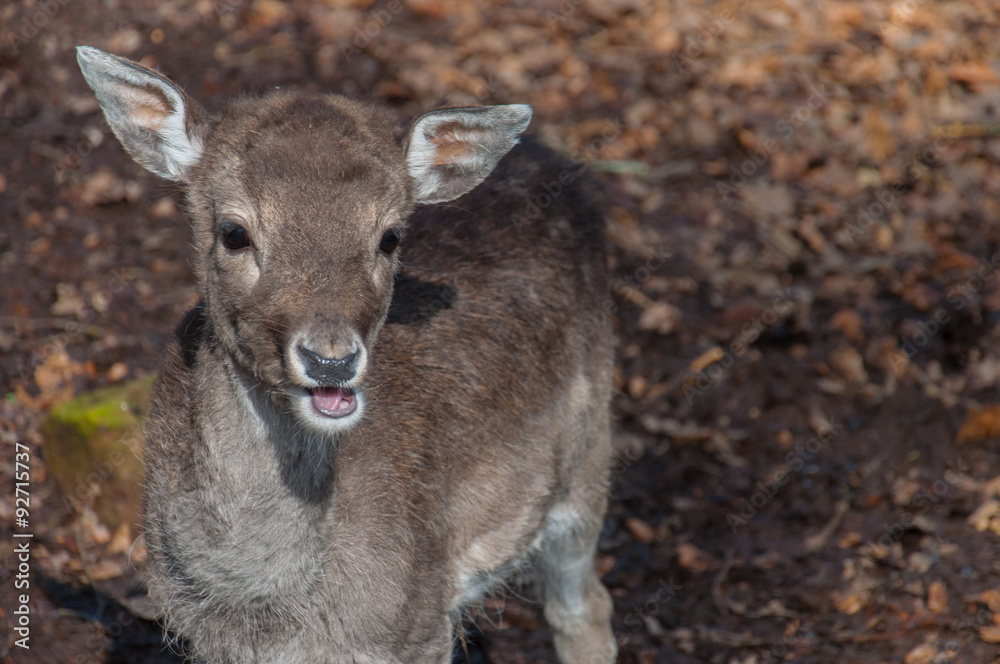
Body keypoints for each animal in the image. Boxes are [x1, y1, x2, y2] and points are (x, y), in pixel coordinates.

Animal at [76, 44, 616, 660]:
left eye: (390, 236)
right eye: (234, 232)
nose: (330, 360)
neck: (273, 615)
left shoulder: (422, 624)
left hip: (588, 456)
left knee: (584, 606)